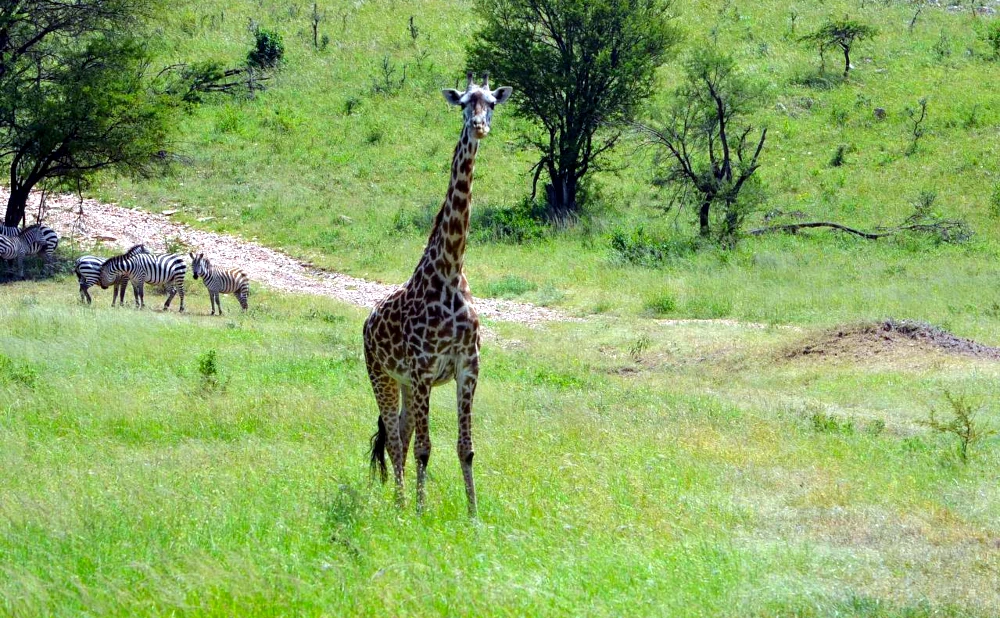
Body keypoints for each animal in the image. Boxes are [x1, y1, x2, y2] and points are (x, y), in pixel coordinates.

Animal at [364, 71, 512, 516]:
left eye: (491, 103)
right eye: (463, 102)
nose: (479, 127)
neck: (449, 271)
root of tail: (366, 323)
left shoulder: (468, 366)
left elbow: (466, 448)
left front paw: (474, 514)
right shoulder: (424, 369)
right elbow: (425, 449)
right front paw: (420, 511)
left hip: (405, 384)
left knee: (399, 433)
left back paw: (401, 501)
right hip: (382, 375)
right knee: (396, 440)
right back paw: (399, 505)